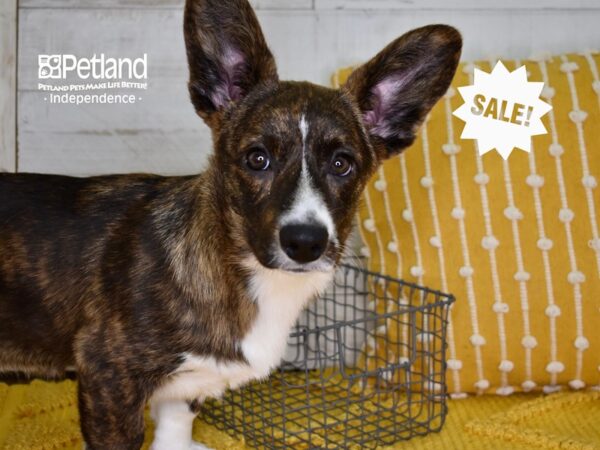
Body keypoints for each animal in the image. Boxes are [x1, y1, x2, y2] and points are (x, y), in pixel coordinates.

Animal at [0, 1, 462, 448]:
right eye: (257, 158)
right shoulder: (108, 376)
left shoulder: (184, 388)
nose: (305, 242)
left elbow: (175, 428)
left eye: (341, 164)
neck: (248, 276)